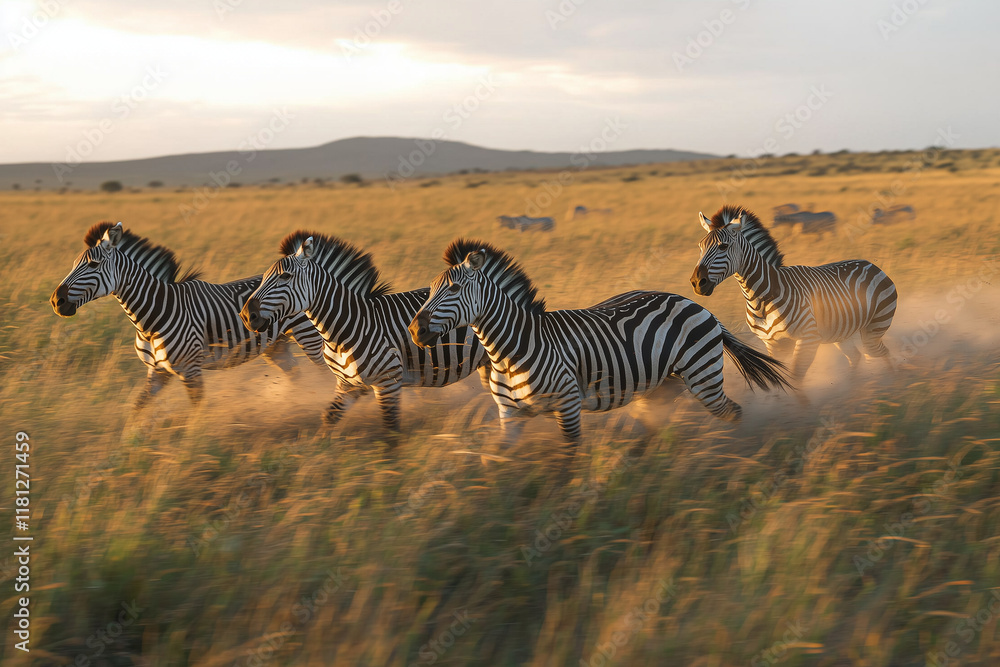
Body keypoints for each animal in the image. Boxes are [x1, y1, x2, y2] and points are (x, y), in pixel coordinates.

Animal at [50, 221, 327, 409]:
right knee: (299, 378)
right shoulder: (157, 371)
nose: (56, 301)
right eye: (74, 264)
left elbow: (195, 413)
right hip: (276, 346)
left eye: (93, 265)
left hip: (310, 338)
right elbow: (137, 410)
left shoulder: (190, 369)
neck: (153, 315)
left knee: (323, 373)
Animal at [240, 231, 489, 433]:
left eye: (285, 276)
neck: (354, 322)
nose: (246, 315)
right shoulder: (351, 383)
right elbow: (329, 418)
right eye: (264, 277)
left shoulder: (390, 377)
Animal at [408, 239, 791, 445]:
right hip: (661, 388)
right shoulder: (510, 416)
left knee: (732, 413)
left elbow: (568, 463)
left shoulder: (568, 404)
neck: (515, 346)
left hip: (703, 379)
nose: (414, 330)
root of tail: (696, 304)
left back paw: (734, 451)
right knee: (657, 426)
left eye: (453, 289)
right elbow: (496, 462)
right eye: (430, 289)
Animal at [690, 205, 897, 380]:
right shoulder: (773, 344)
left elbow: (796, 377)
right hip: (841, 333)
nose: (696, 283)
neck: (761, 298)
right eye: (700, 247)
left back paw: (890, 381)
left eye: (723, 246)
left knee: (880, 352)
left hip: (874, 327)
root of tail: (870, 264)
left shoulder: (808, 337)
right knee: (856, 356)